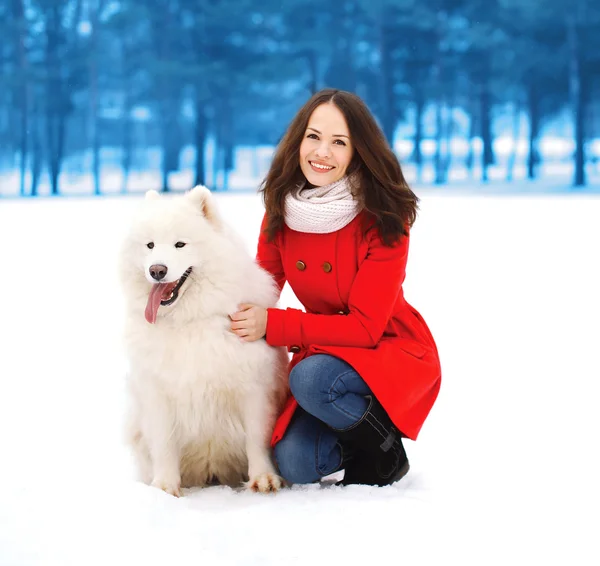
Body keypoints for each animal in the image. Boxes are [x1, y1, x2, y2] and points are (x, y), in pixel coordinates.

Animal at [119, 186, 288, 496]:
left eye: (180, 245)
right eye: (150, 245)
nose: (157, 270)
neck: (190, 320)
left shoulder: (255, 390)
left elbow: (257, 438)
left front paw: (263, 478)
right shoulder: (157, 393)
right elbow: (164, 442)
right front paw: (165, 486)